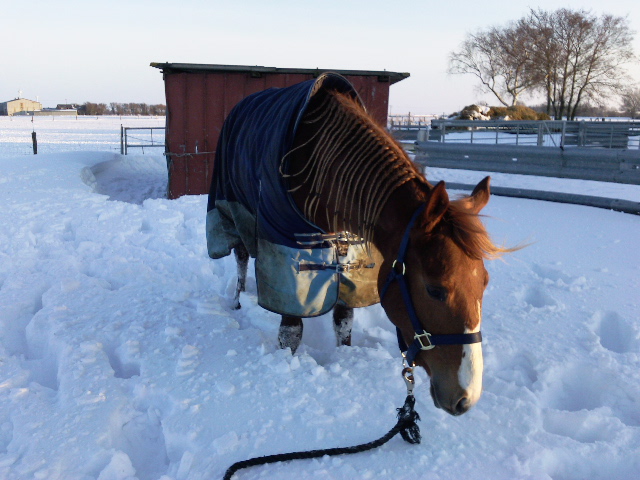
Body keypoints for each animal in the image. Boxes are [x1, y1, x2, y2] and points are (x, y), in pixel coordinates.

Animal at [220, 84, 504, 414]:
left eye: (485, 283)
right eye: (435, 290)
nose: (466, 397)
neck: (317, 162)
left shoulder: (349, 255)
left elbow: (344, 321)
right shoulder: (286, 257)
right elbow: (290, 332)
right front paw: (288, 365)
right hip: (232, 209)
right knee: (240, 258)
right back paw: (238, 301)